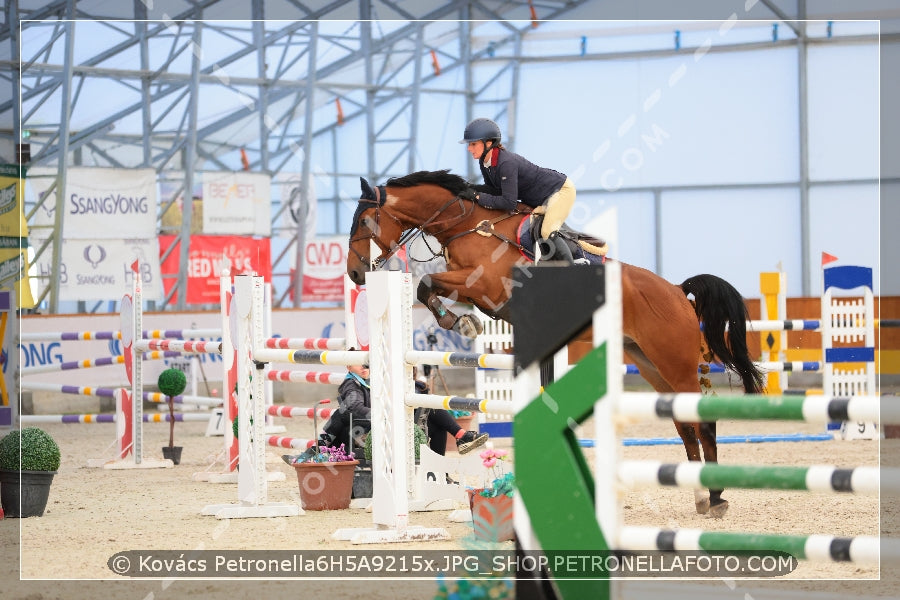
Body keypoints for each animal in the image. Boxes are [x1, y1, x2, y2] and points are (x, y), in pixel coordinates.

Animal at [348, 168, 764, 516]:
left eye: (366, 221)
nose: (354, 273)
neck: (469, 224)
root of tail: (678, 292)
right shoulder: (476, 291)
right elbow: (429, 287)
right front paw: (462, 321)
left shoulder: (485, 285)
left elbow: (426, 283)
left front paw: (461, 324)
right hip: (649, 362)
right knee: (684, 424)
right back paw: (700, 497)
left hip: (674, 363)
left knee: (702, 423)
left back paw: (716, 498)